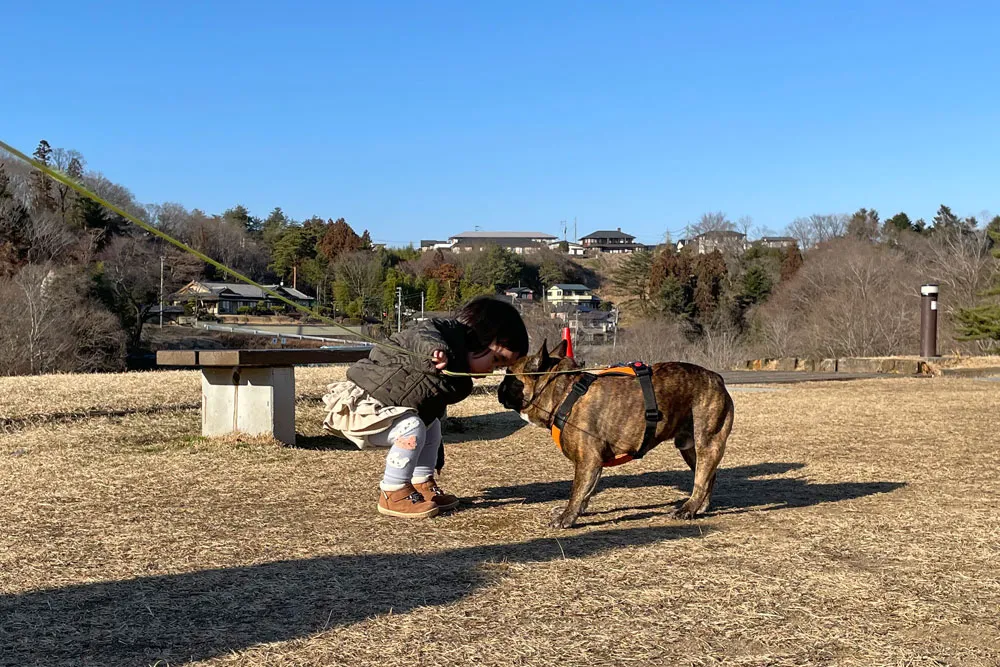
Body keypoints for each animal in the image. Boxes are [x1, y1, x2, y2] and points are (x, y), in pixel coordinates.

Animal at [498, 342, 736, 528]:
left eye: (509, 375)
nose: (499, 387)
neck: (564, 393)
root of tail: (718, 378)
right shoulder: (592, 464)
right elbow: (586, 491)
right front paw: (578, 511)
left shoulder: (588, 460)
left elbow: (577, 490)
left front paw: (567, 517)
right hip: (689, 448)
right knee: (708, 476)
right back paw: (700, 507)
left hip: (707, 442)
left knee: (701, 479)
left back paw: (687, 509)